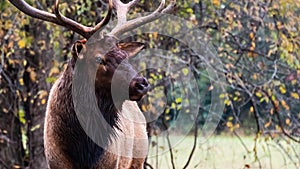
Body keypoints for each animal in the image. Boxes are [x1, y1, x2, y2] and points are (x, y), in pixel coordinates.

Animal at [8, 0, 176, 168]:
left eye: (125, 56)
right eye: (99, 59)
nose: (142, 84)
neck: (83, 150)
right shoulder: (55, 162)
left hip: (138, 159)